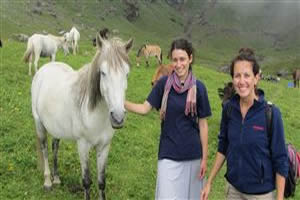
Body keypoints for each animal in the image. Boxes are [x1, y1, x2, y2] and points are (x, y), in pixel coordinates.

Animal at [31, 34, 132, 200]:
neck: (96, 115)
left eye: (127, 73)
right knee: (45, 149)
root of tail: (43, 69)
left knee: (55, 148)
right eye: (103, 73)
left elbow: (101, 182)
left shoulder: (104, 147)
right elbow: (86, 181)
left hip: (56, 127)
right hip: (39, 124)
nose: (118, 118)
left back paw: (56, 178)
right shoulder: (83, 146)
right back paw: (47, 181)